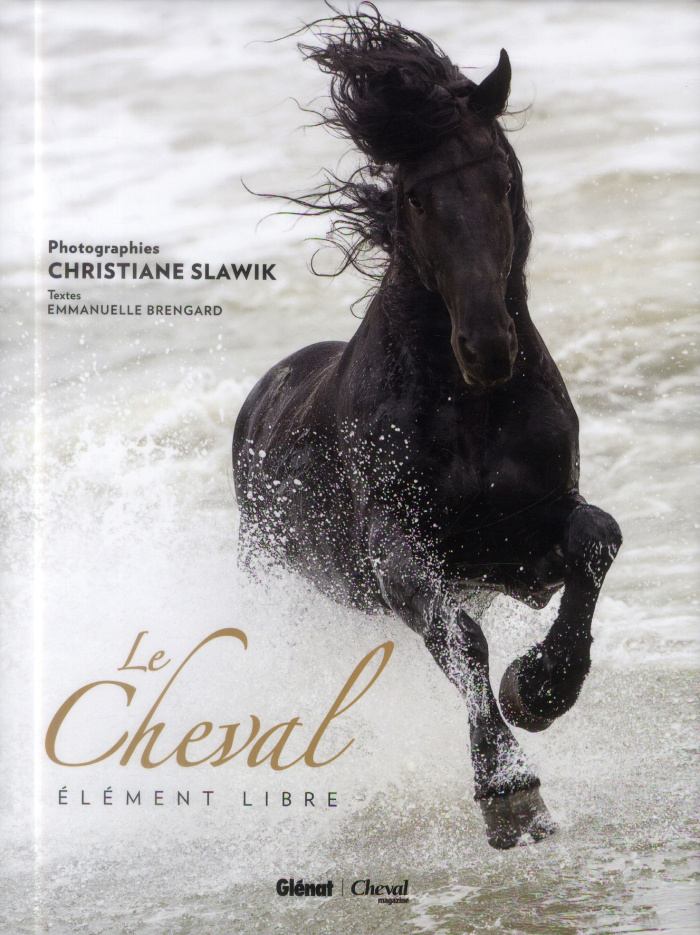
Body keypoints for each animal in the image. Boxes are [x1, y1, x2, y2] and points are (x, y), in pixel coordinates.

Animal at [233, 4, 622, 849]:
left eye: (501, 177)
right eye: (414, 196)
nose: (487, 345)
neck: (471, 408)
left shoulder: (525, 546)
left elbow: (596, 538)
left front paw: (539, 688)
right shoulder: (400, 553)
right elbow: (462, 639)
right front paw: (511, 792)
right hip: (276, 575)